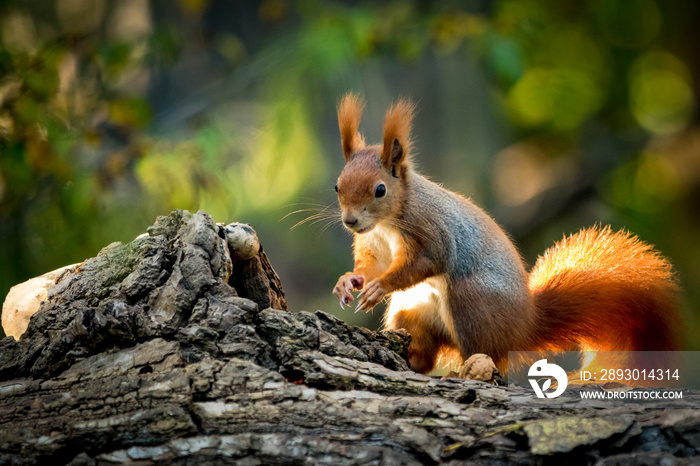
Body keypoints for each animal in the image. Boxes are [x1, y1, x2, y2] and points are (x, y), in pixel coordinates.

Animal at [330, 93, 680, 374]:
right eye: (337, 185)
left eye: (380, 189)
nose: (350, 221)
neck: (387, 223)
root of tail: (523, 326)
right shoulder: (373, 242)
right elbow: (371, 265)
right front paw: (349, 281)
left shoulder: (431, 230)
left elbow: (428, 260)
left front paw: (379, 287)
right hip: (412, 312)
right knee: (427, 355)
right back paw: (414, 360)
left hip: (472, 303)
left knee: (489, 357)